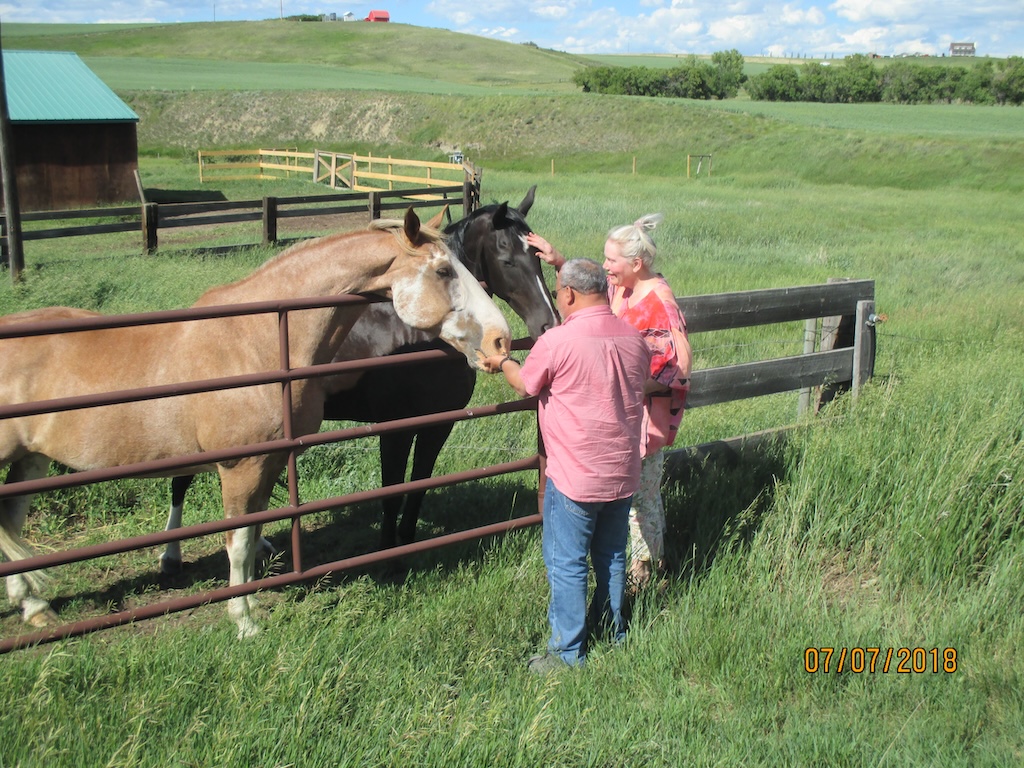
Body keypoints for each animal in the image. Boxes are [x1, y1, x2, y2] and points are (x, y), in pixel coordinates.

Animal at [0, 208, 511, 639]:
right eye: (444, 272)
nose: (500, 340)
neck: (254, 339)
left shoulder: (266, 464)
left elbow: (252, 533)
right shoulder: (239, 468)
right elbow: (239, 542)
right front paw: (244, 621)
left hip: (30, 460)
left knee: (11, 521)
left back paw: (34, 605)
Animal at [162, 186, 557, 569]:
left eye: (538, 257)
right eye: (508, 261)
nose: (548, 323)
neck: (416, 336)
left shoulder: (437, 425)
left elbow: (418, 487)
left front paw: (407, 544)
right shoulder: (395, 428)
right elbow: (392, 492)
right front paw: (388, 557)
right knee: (182, 481)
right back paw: (170, 556)